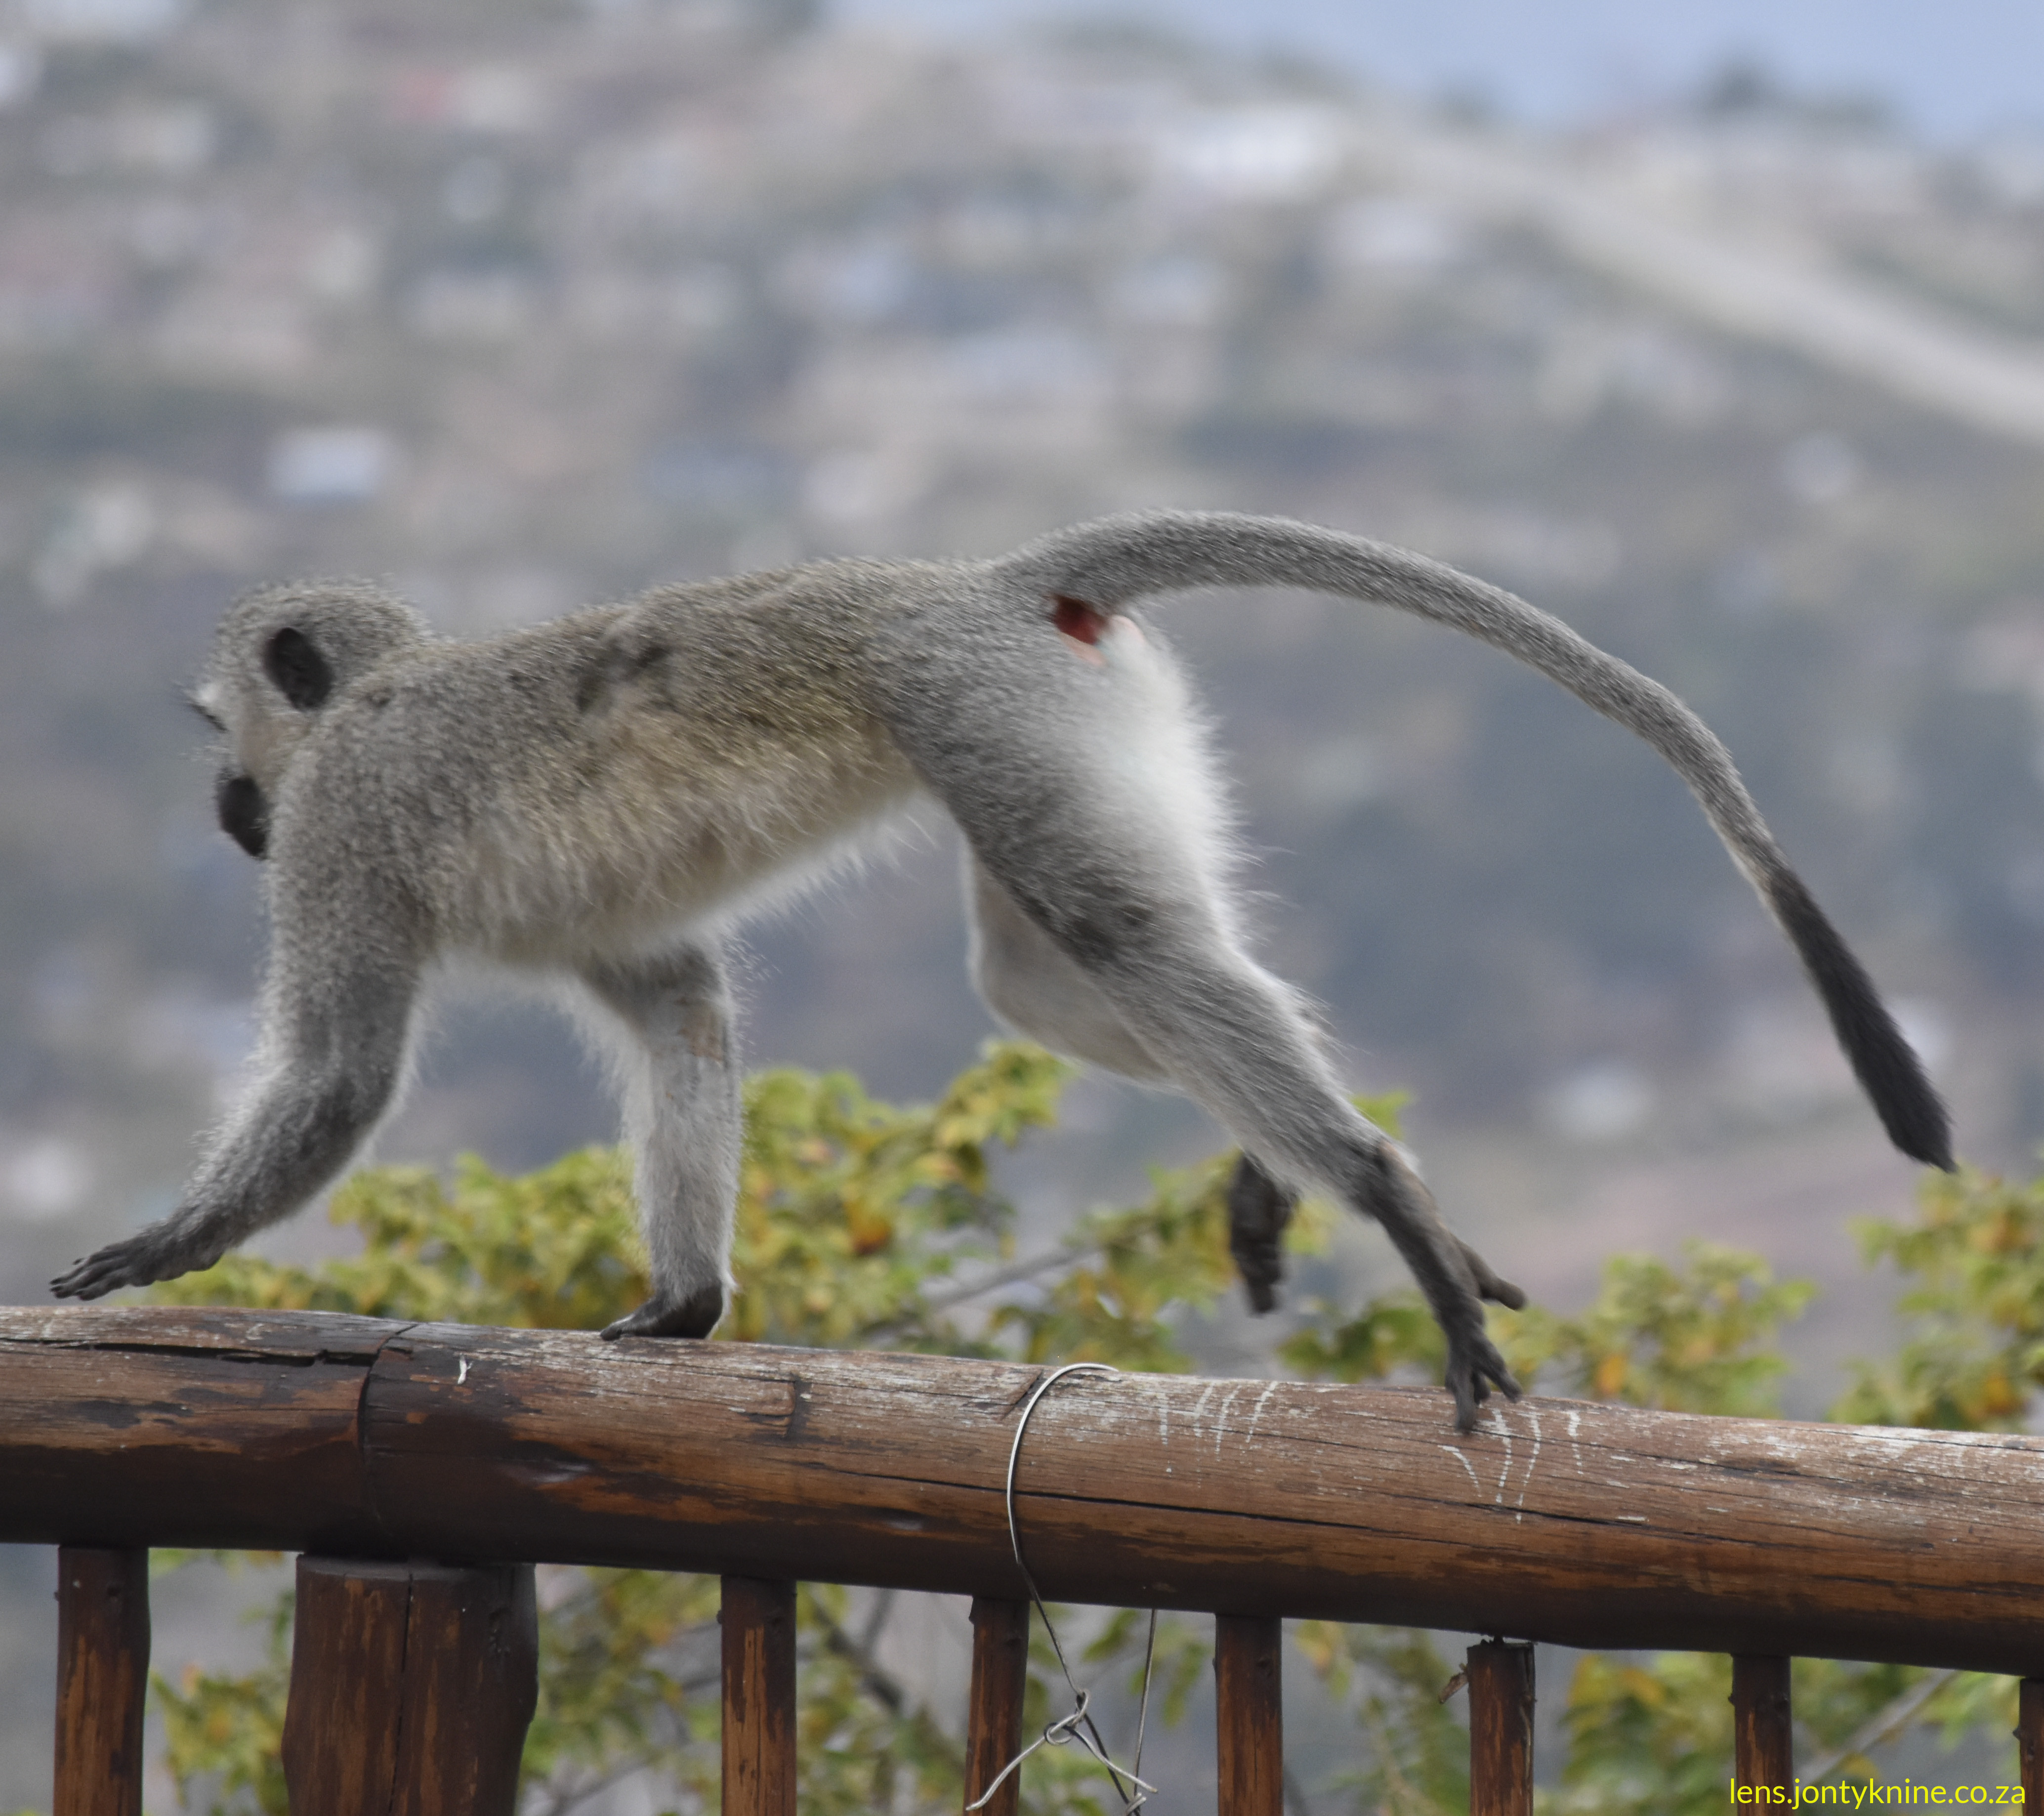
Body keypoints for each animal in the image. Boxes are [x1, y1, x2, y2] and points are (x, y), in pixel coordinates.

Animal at [50, 511, 1952, 1433]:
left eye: (228, 734)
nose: (227, 808)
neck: (377, 701)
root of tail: (981, 585)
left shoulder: (342, 834)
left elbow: (339, 1077)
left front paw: (157, 1250)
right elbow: (678, 1006)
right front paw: (685, 1306)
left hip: (987, 712)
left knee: (1109, 942)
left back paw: (1382, 1195)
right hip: (1076, 727)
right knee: (1054, 973)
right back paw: (1294, 1170)